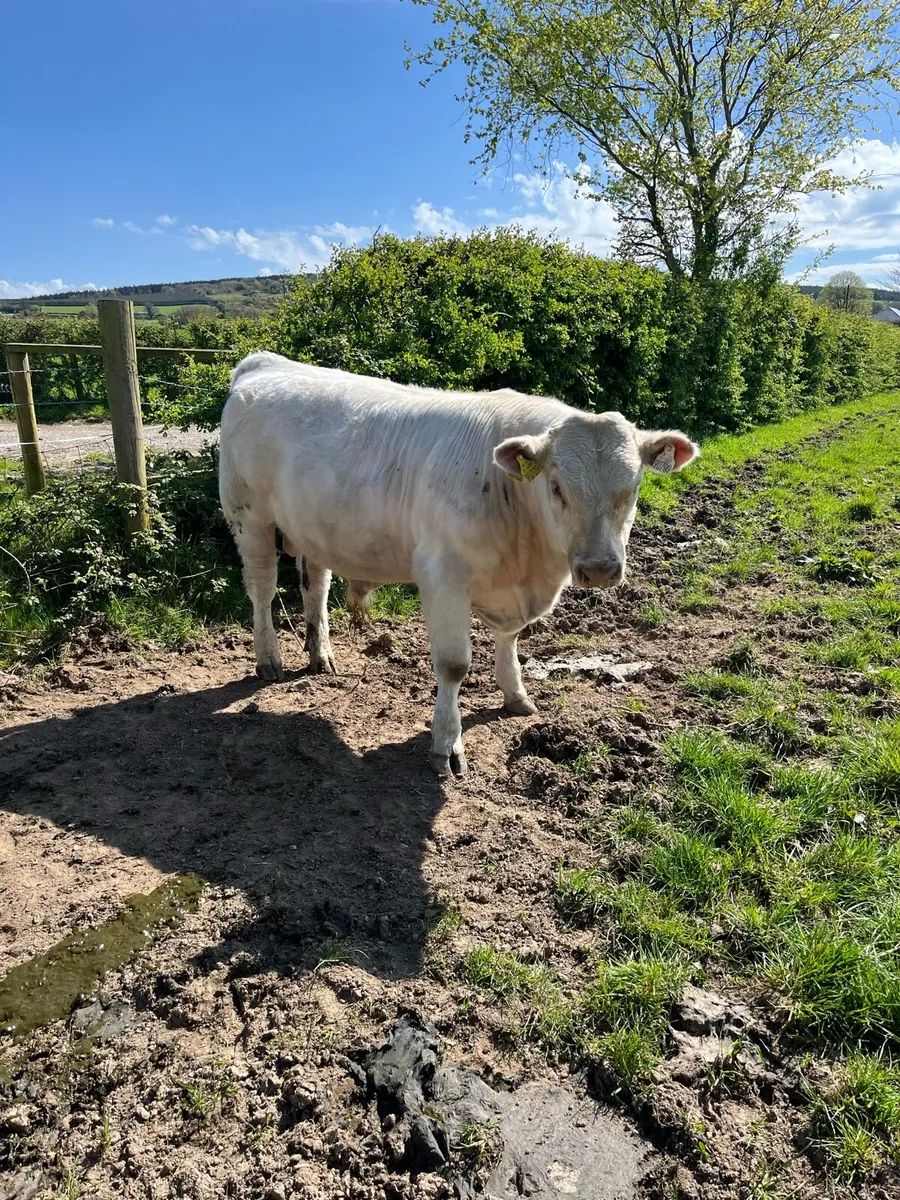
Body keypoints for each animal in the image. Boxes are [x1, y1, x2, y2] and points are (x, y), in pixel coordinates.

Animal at [219, 352, 698, 777]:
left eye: (632, 488)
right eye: (557, 487)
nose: (600, 569)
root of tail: (264, 362)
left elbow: (510, 639)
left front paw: (515, 693)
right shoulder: (442, 577)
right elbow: (454, 665)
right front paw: (447, 745)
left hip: (313, 528)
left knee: (315, 586)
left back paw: (321, 654)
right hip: (250, 519)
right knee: (262, 590)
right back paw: (269, 659)